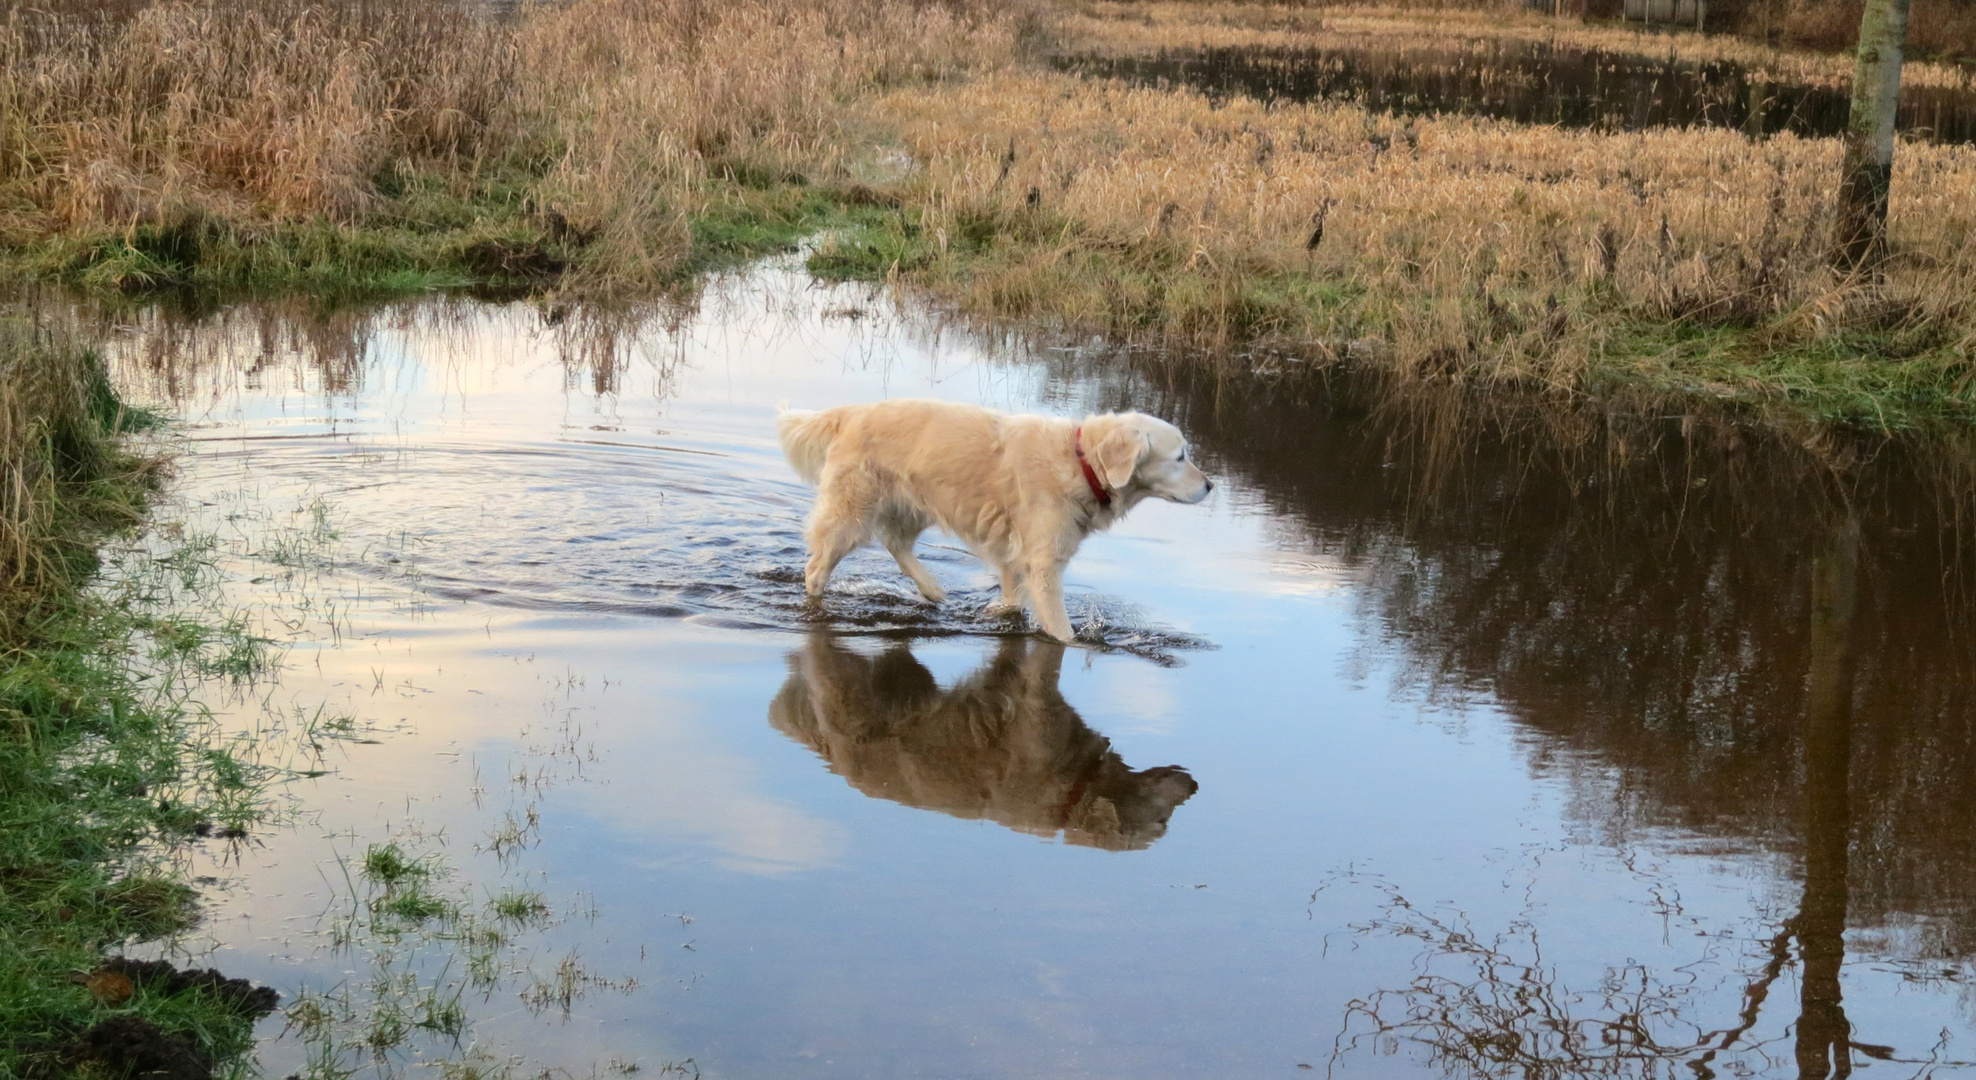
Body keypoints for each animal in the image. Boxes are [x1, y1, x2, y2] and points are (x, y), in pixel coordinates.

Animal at [778, 398, 1209, 643]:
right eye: (1180, 457)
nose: (1210, 485)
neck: (1080, 462)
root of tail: (849, 412)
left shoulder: (1012, 553)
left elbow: (1011, 597)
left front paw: (998, 610)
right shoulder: (1044, 564)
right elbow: (1061, 631)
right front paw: (1076, 641)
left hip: (914, 504)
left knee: (897, 545)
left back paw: (934, 591)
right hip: (851, 514)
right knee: (816, 569)